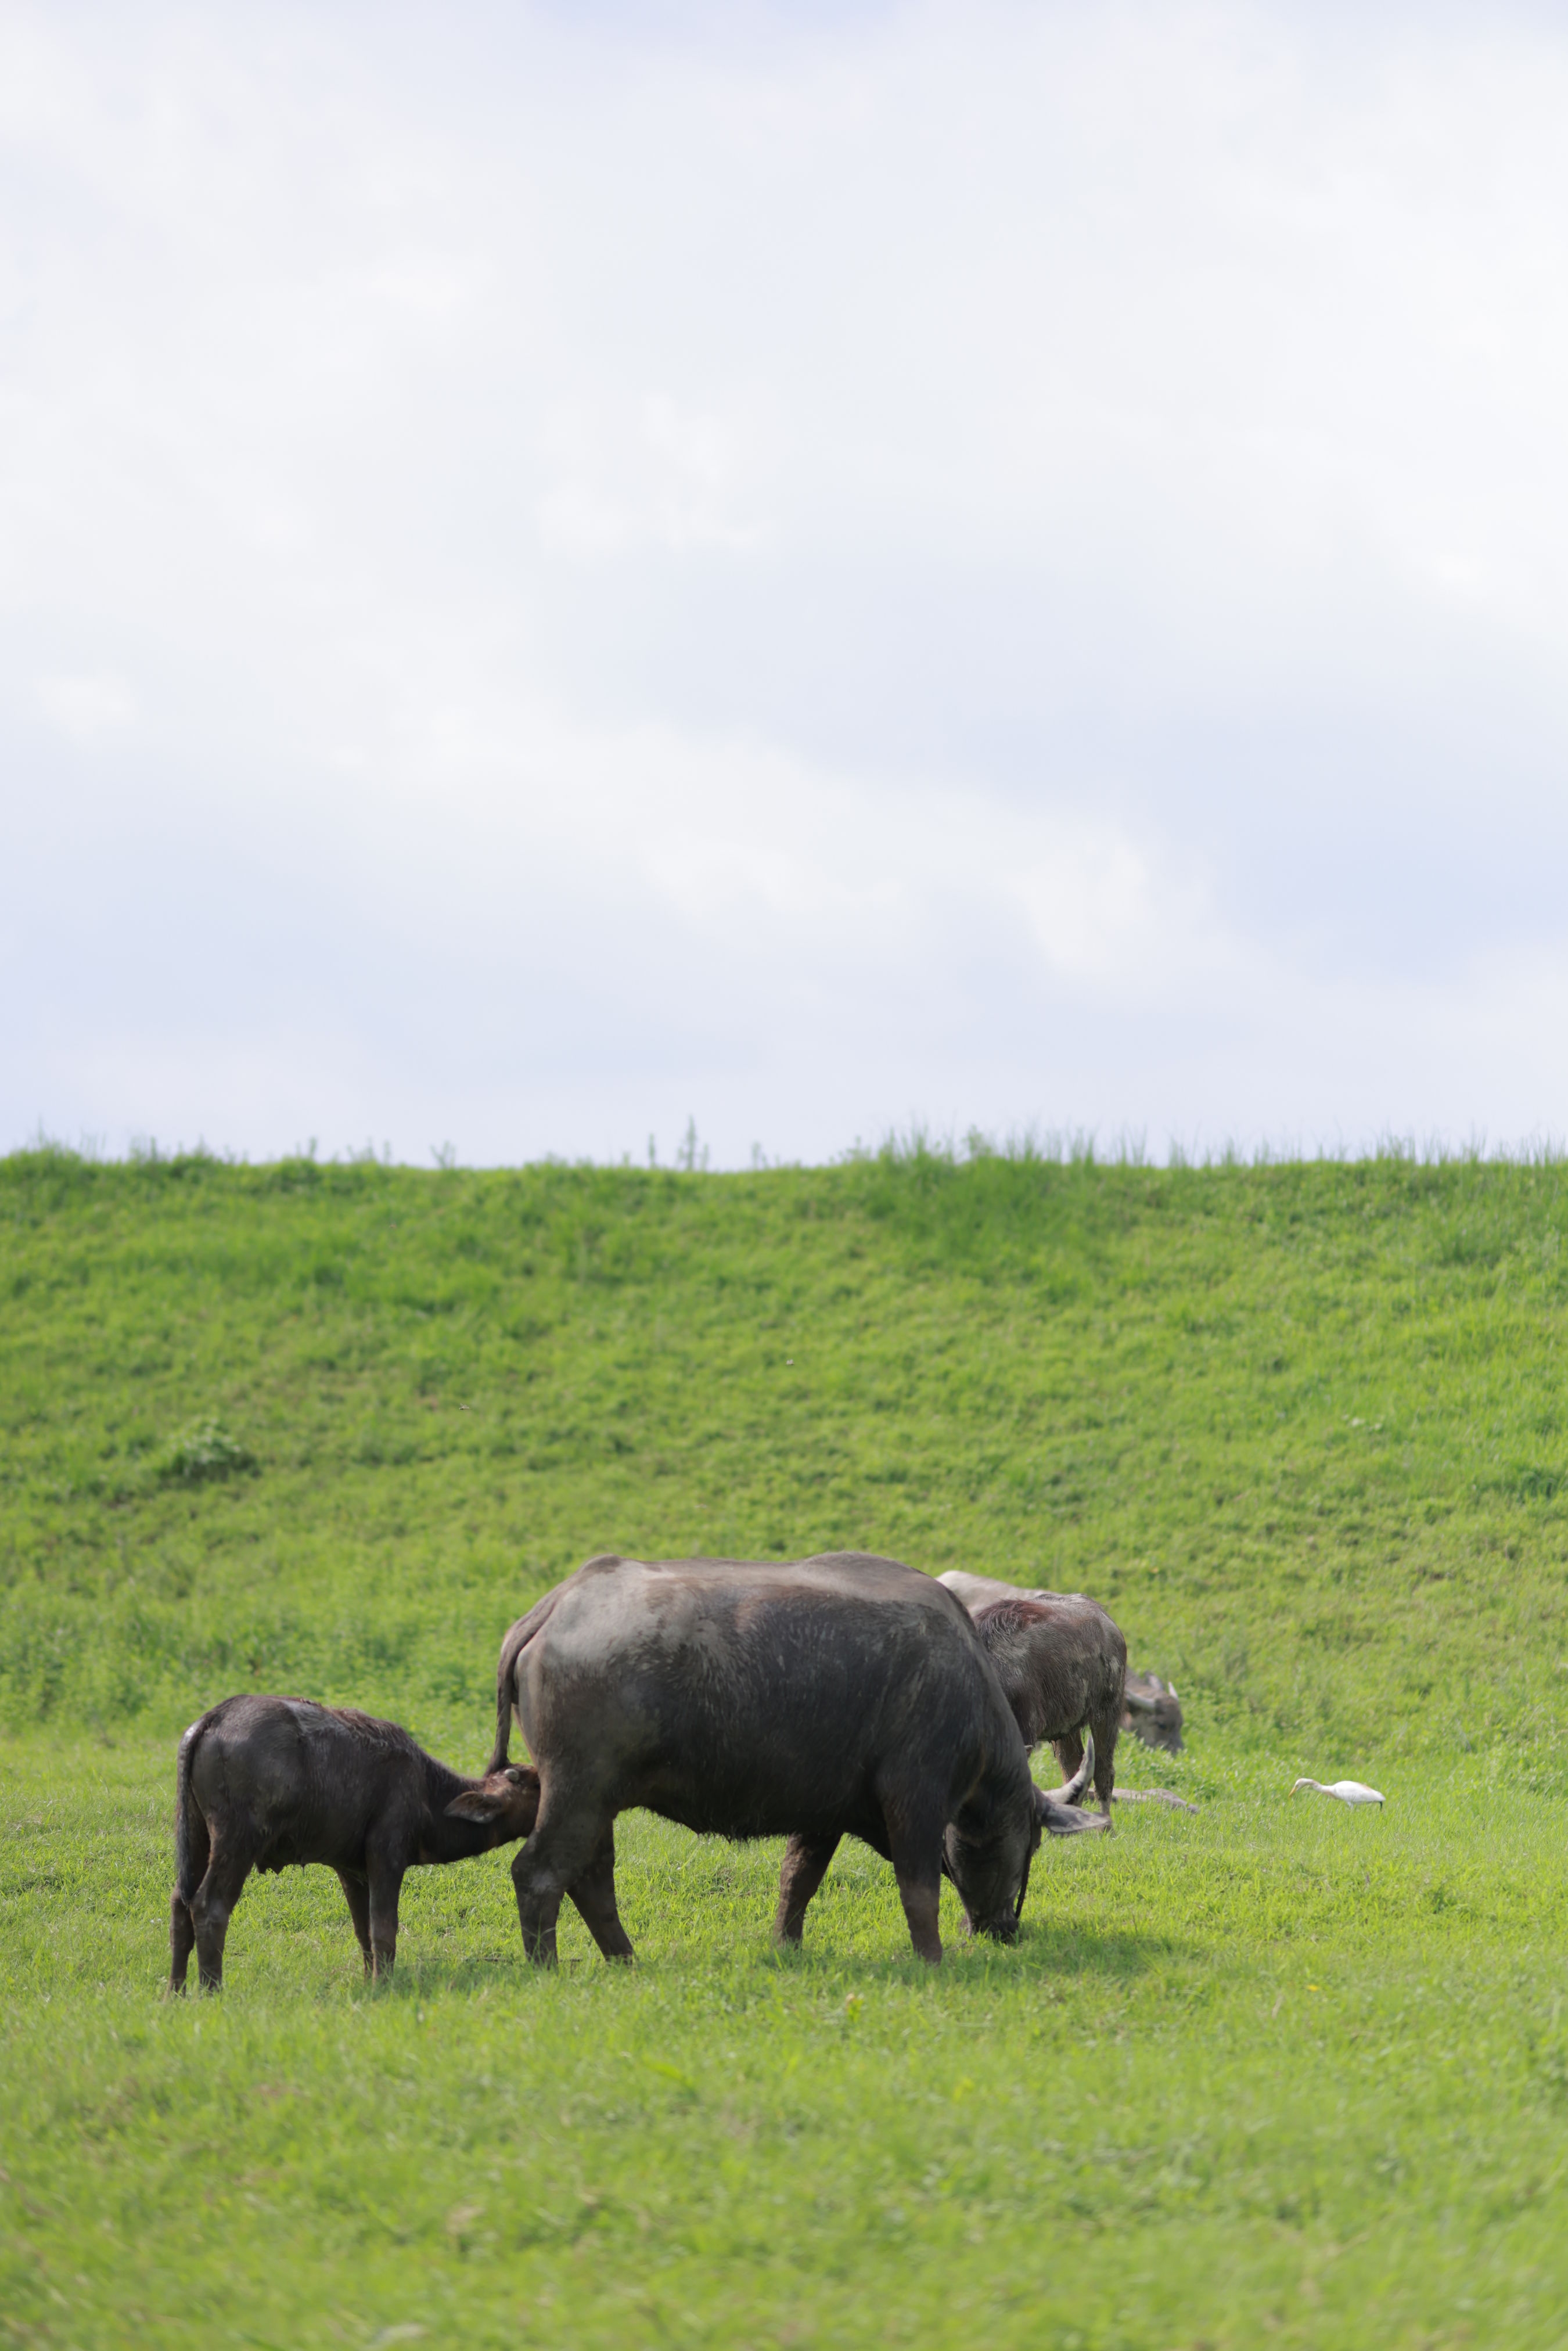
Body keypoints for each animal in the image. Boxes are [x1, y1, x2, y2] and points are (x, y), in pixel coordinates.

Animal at [170, 1702, 541, 1993]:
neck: (426, 1790)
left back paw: (175, 1993)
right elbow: (384, 1928)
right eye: (537, 1787)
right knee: (209, 1906)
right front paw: (383, 1985)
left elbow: (364, 1931)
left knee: (180, 1903)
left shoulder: (352, 1872)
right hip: (237, 1841)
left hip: (197, 1836)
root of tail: (214, 1718)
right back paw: (212, 1991)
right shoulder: (387, 1859)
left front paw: (368, 1981)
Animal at [491, 1551, 1105, 1975]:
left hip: (597, 1802)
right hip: (579, 1791)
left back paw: (626, 1960)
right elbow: (920, 1891)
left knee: (593, 1878)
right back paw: (548, 1968)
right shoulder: (917, 1801)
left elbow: (798, 1881)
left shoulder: (824, 1816)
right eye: (1031, 1843)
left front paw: (787, 1946)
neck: (966, 1688)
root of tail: (560, 1604)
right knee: (540, 1872)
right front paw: (932, 1959)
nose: (1006, 1929)